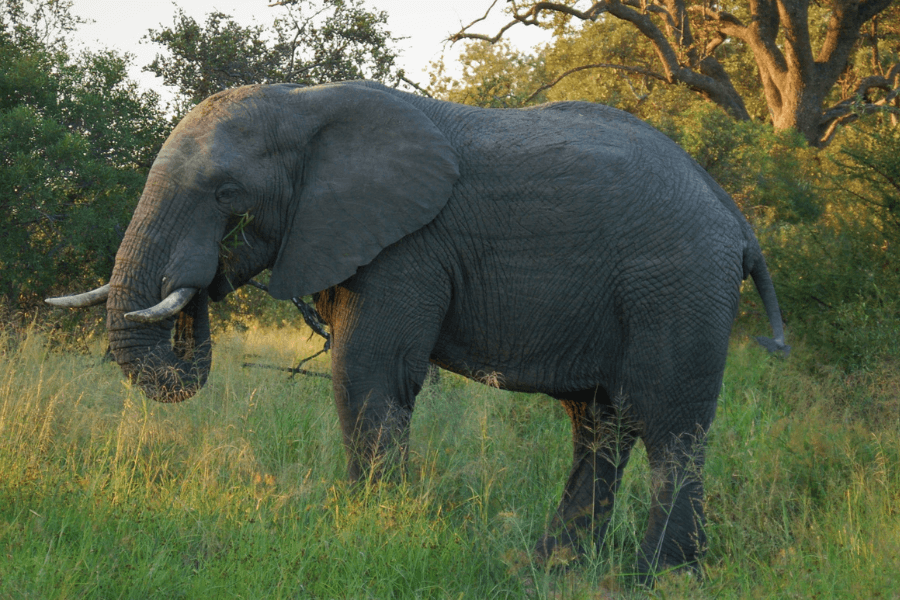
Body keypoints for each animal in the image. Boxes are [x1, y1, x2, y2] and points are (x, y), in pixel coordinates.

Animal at [48, 80, 788, 582]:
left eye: (227, 193)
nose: (209, 271)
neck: (304, 104)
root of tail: (736, 217)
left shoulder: (410, 246)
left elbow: (368, 373)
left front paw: (371, 533)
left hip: (678, 285)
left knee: (668, 424)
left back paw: (659, 575)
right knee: (600, 424)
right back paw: (552, 567)